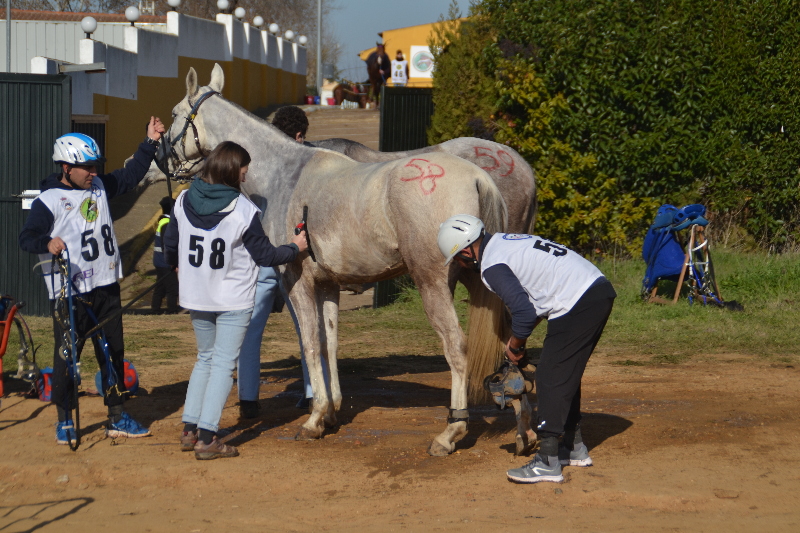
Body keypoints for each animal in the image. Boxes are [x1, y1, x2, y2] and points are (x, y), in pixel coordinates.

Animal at [158, 62, 536, 454]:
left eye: (173, 114)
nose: (161, 158)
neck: (284, 176)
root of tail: (479, 177)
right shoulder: (328, 285)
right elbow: (330, 343)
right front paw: (331, 412)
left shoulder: (296, 283)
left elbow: (310, 343)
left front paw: (314, 419)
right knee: (509, 344)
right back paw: (524, 429)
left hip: (433, 283)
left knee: (457, 346)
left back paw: (451, 432)